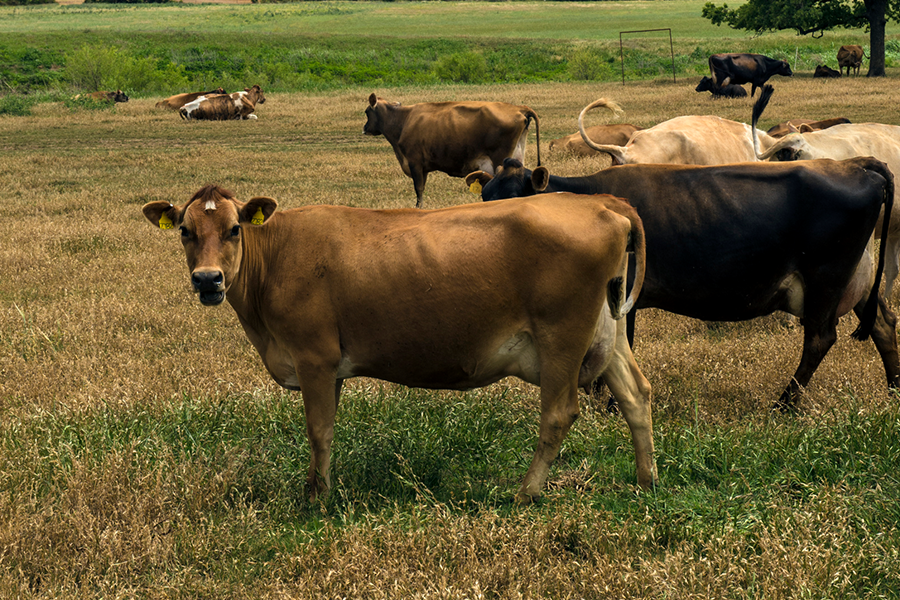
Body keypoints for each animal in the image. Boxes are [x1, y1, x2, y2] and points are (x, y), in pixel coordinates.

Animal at [144, 185, 656, 504]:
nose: (207, 279)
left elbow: (319, 430)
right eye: (185, 231)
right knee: (636, 395)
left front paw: (317, 498)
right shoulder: (327, 367)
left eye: (235, 229)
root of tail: (600, 202)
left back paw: (526, 492)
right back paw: (646, 480)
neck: (278, 255)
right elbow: (325, 432)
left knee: (559, 413)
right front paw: (316, 488)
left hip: (562, 337)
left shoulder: (314, 358)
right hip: (609, 332)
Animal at [468, 157, 896, 410]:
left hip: (826, 276)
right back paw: (894, 390)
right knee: (883, 324)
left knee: (820, 338)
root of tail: (857, 165)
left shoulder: (621, 291)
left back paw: (784, 403)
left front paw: (609, 404)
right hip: (853, 282)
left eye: (519, 196)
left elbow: (618, 345)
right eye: (485, 195)